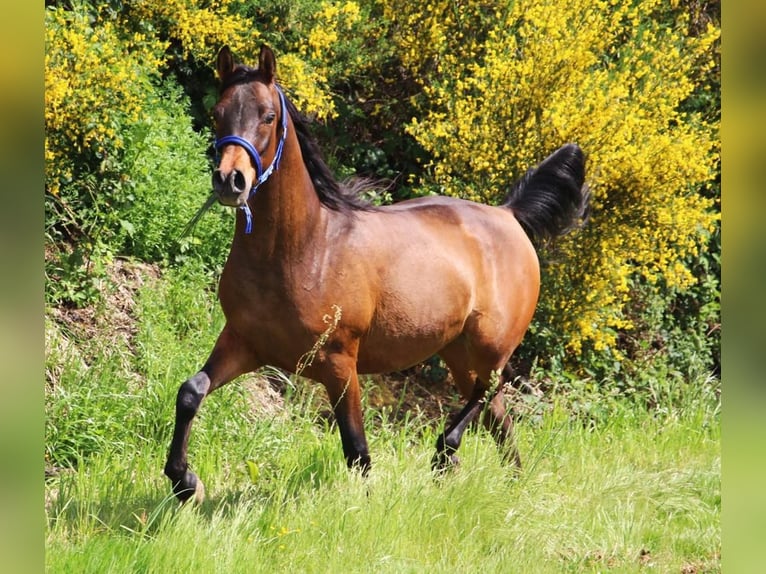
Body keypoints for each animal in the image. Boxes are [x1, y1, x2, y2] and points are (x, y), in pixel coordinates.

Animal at [165, 45, 592, 504]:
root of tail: (508, 215)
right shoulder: (244, 343)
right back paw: (510, 485)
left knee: (489, 395)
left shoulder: (339, 363)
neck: (302, 249)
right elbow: (190, 392)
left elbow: (356, 448)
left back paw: (446, 454)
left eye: (267, 116)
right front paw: (185, 481)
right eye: (218, 113)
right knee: (499, 417)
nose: (231, 181)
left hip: (490, 348)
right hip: (460, 355)